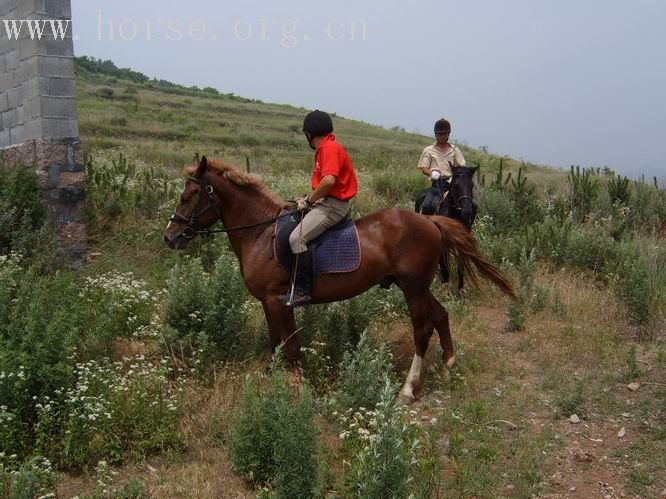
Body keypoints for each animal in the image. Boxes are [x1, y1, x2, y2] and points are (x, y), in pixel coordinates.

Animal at [162, 158, 512, 404]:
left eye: (189, 196)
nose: (170, 237)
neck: (261, 232)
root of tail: (431, 221)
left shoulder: (279, 301)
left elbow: (290, 346)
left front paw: (297, 390)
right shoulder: (268, 302)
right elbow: (275, 343)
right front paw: (269, 380)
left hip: (413, 289)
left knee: (422, 331)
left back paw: (408, 389)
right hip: (416, 286)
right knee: (441, 314)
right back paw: (449, 363)